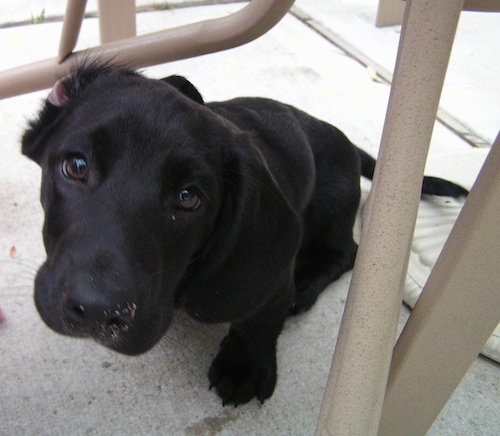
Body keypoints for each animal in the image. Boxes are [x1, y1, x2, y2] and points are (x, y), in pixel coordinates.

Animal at [22, 63, 468, 408]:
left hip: (332, 204)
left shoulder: (273, 271)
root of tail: (350, 146)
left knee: (347, 251)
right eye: (77, 165)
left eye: (189, 197)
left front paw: (246, 365)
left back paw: (306, 284)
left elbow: (261, 318)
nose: (98, 312)